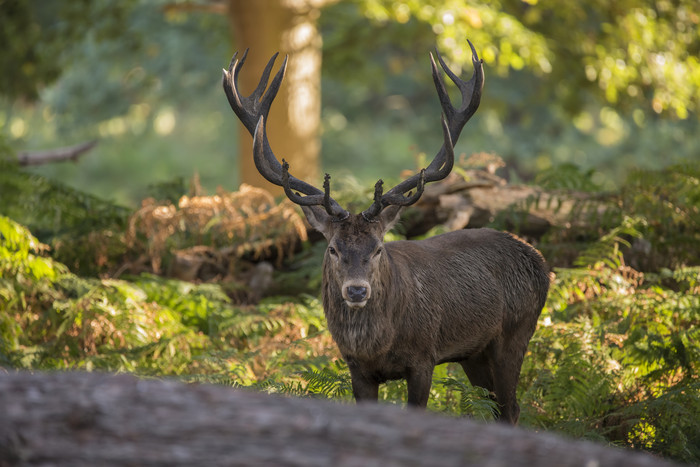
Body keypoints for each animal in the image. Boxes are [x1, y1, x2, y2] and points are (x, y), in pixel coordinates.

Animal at [221, 42, 548, 426]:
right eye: (333, 248)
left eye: (378, 248)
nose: (357, 290)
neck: (379, 346)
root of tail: (540, 261)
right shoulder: (356, 369)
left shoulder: (424, 357)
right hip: (474, 353)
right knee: (496, 406)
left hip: (515, 332)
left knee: (511, 407)